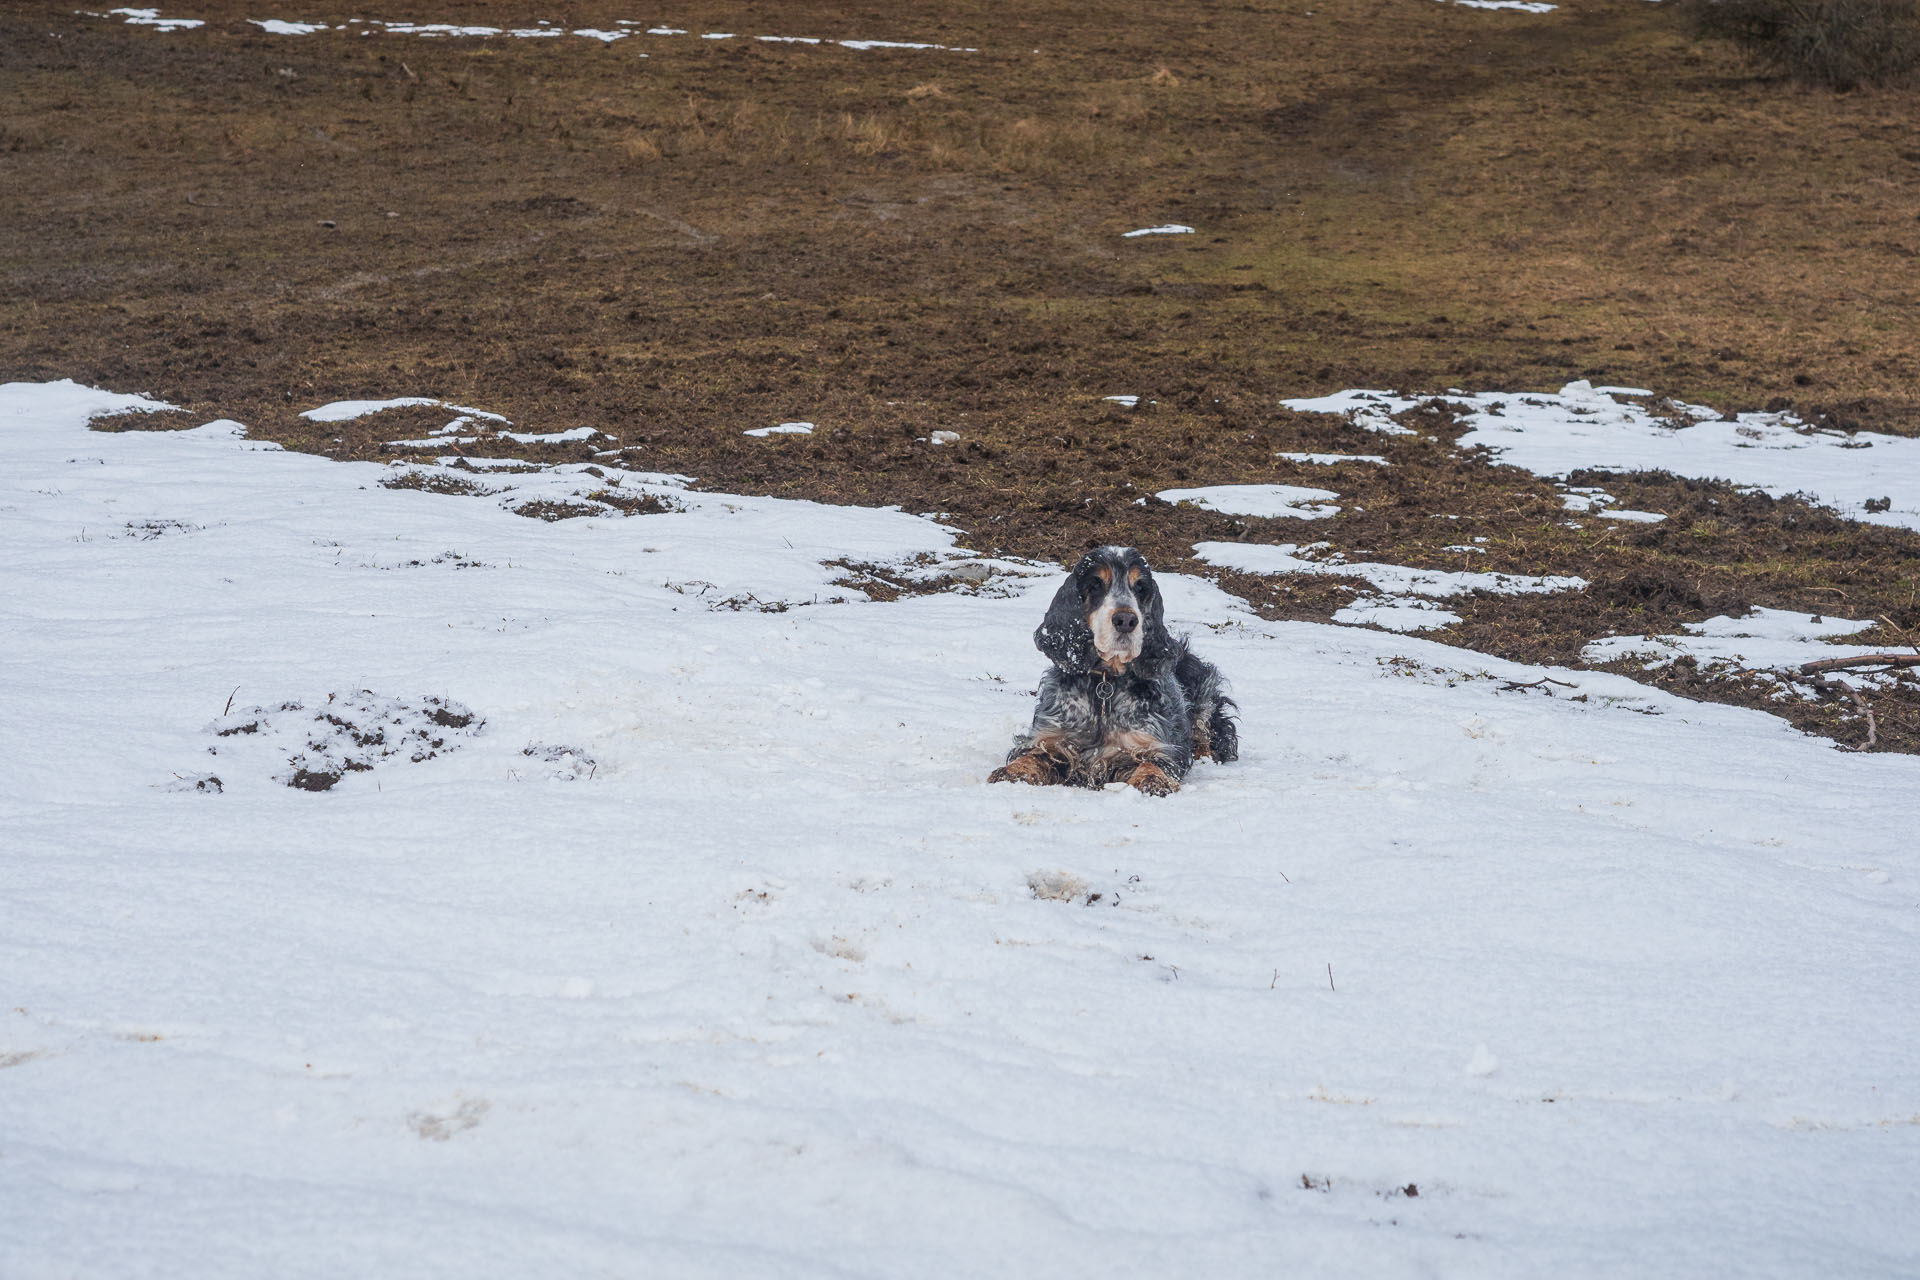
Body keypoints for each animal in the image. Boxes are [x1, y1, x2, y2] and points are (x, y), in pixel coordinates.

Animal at [990, 545, 1244, 794]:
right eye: (1095, 585)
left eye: (1140, 587)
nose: (1126, 620)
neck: (1105, 682)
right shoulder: (1052, 738)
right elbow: (1031, 755)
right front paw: (1011, 772)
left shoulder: (1152, 744)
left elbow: (1154, 761)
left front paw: (1153, 780)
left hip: (1203, 687)